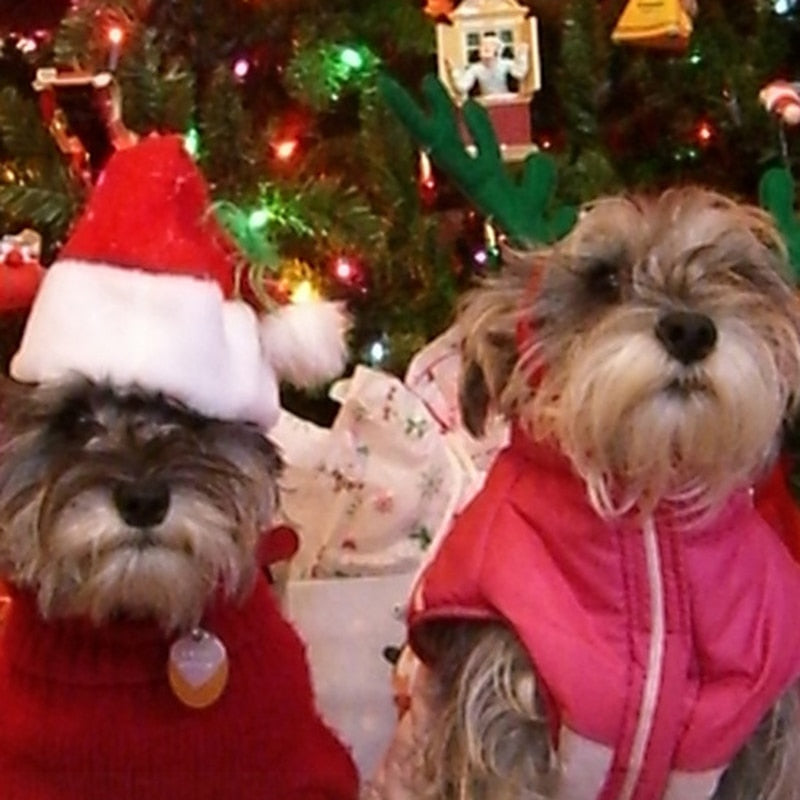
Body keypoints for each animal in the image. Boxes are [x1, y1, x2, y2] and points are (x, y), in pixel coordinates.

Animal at [376, 189, 800, 800]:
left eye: (737, 274)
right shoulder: (504, 721)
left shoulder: (759, 743)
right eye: (604, 279)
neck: (648, 510)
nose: (692, 331)